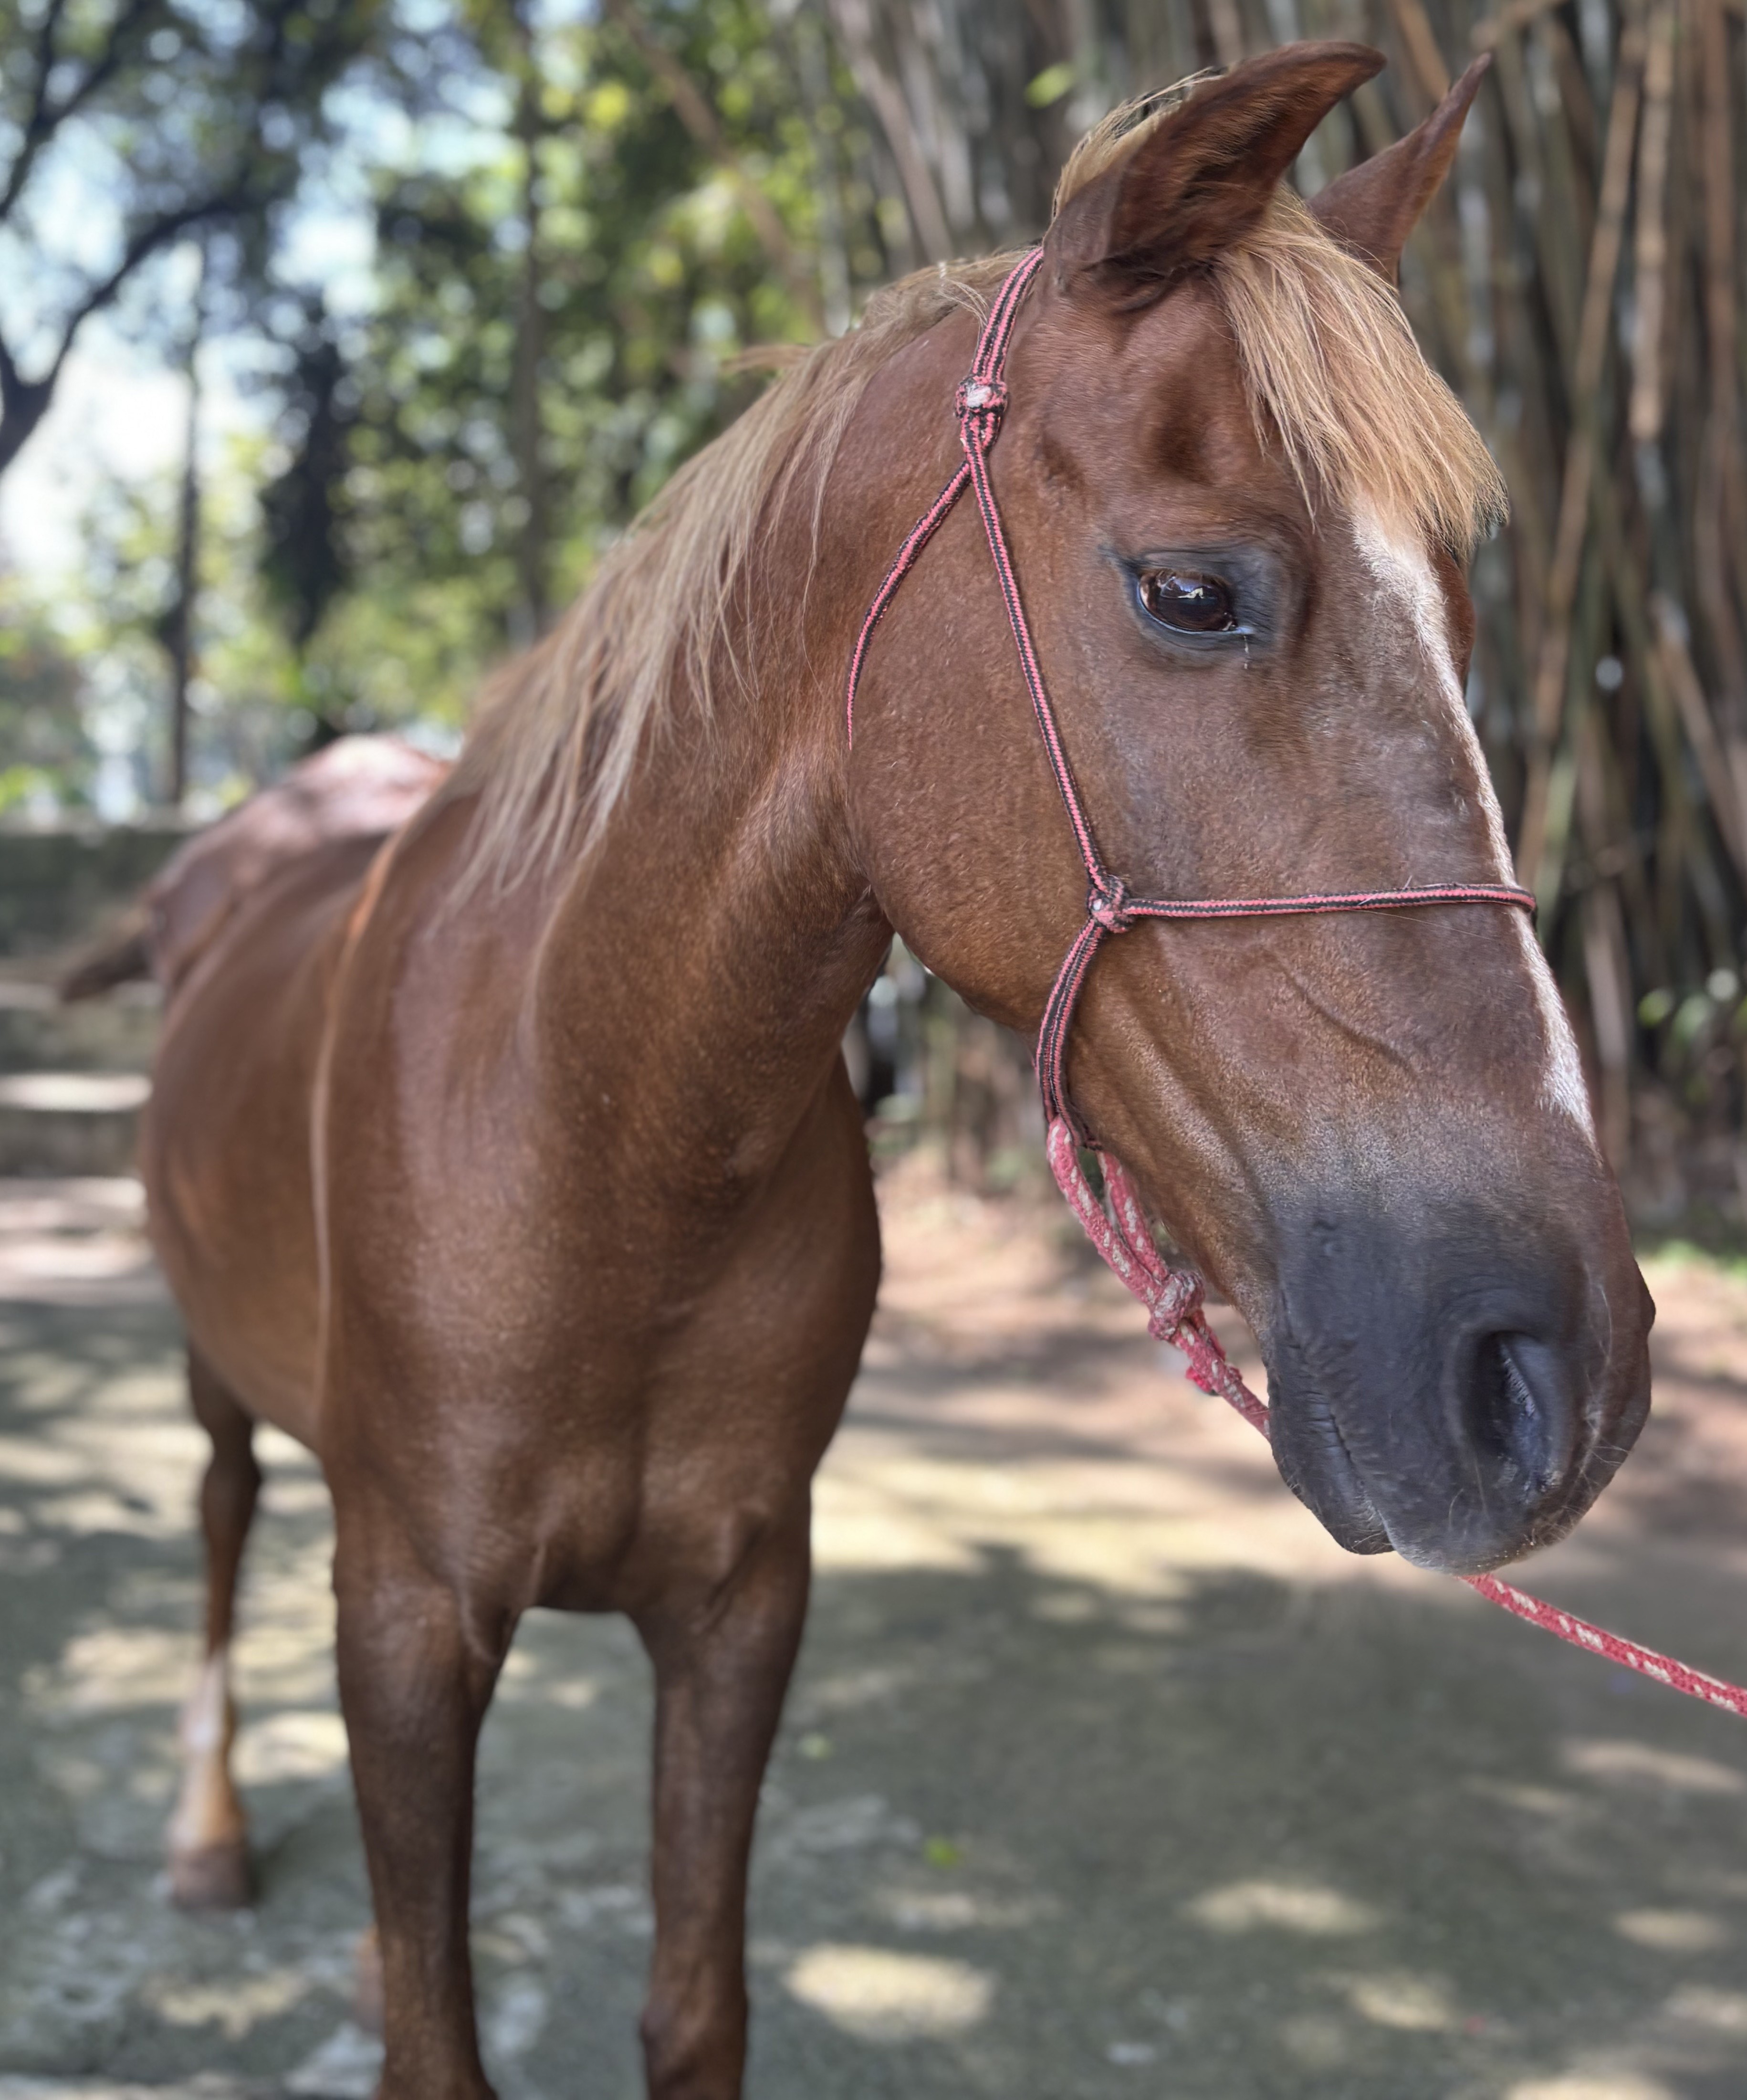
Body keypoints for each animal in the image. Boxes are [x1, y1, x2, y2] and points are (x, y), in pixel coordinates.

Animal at [120, 44, 1651, 2100]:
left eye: (1475, 620)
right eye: (1191, 593)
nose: (1560, 1369)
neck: (601, 1124)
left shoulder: (745, 1601)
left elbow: (693, 2004)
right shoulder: (408, 1610)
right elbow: (432, 2025)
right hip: (218, 1381)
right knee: (215, 1533)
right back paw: (202, 1836)